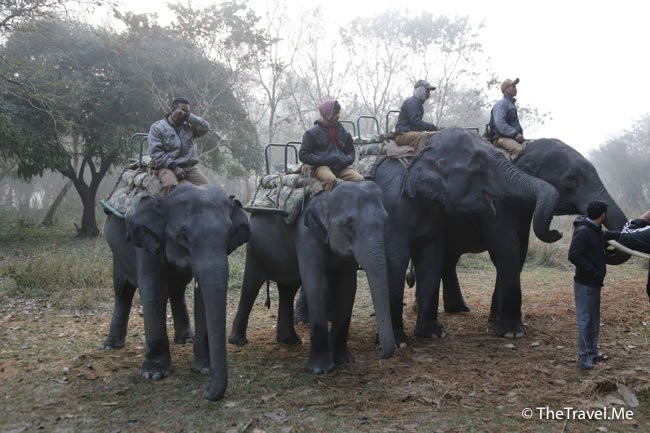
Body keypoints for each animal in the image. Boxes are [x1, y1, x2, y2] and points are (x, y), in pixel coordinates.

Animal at [101, 181, 248, 398]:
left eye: (229, 234)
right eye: (183, 235)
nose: (206, 392)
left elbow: (201, 296)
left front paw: (203, 369)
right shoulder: (146, 242)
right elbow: (153, 291)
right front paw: (154, 374)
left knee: (177, 291)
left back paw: (185, 339)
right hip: (116, 252)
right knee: (122, 291)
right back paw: (110, 345)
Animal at [228, 181, 394, 372]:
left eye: (386, 220)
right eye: (348, 224)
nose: (379, 349)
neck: (328, 195)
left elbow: (348, 288)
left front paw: (344, 361)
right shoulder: (306, 234)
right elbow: (317, 285)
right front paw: (320, 370)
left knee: (288, 289)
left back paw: (289, 341)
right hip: (255, 246)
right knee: (251, 286)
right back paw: (238, 341)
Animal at [438, 138, 624, 334]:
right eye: (572, 180)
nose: (558, 232)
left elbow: (520, 250)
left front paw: (495, 320)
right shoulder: (496, 203)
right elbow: (507, 248)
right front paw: (511, 332)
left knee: (449, 258)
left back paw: (459, 309)